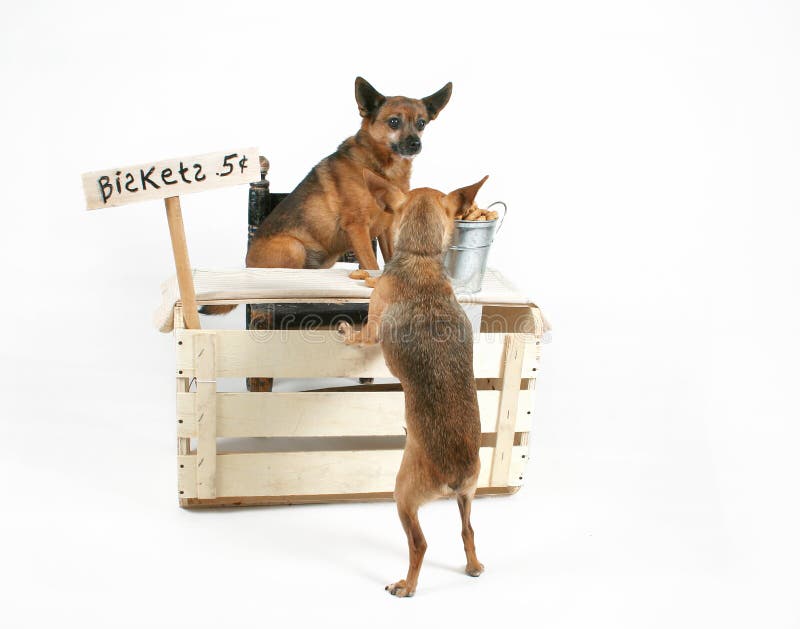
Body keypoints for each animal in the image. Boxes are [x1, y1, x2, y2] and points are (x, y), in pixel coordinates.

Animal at [338, 169, 488, 596]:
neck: (421, 257)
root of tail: (455, 477)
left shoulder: (373, 328)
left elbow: (363, 328)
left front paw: (350, 317)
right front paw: (362, 273)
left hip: (403, 494)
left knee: (420, 543)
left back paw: (406, 585)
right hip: (468, 496)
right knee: (468, 530)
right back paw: (473, 567)